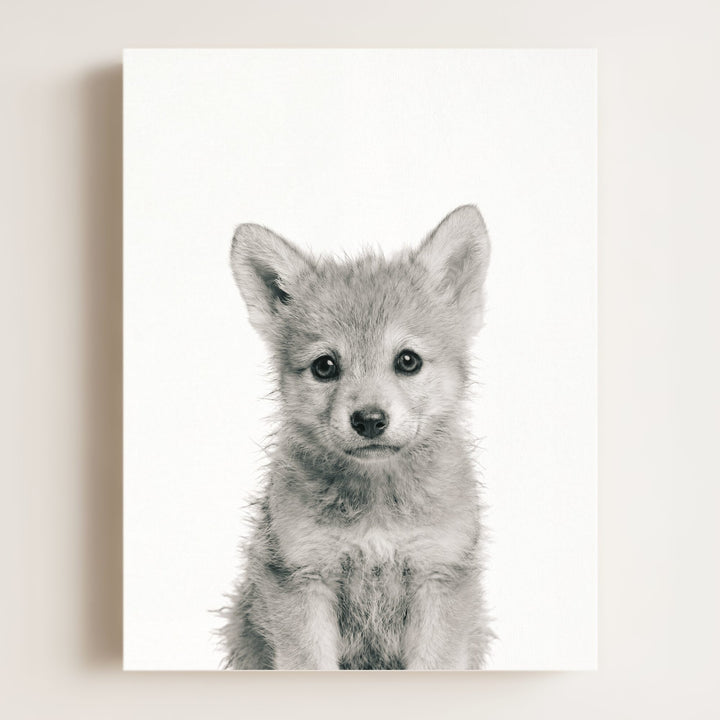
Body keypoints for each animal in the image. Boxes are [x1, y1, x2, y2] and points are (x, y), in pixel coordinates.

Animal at [221, 205, 493, 670]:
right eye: (325, 366)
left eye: (407, 360)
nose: (368, 420)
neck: (377, 508)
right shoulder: (303, 579)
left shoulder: (438, 576)